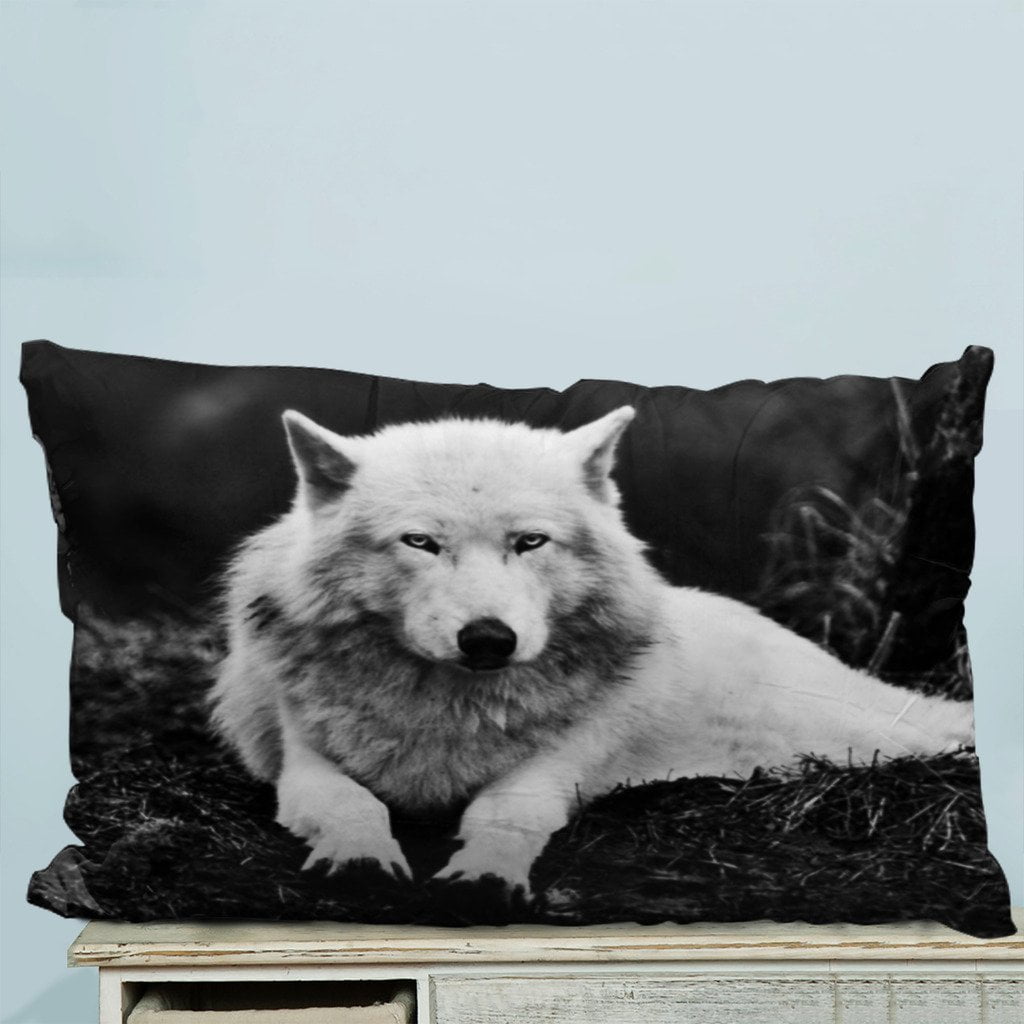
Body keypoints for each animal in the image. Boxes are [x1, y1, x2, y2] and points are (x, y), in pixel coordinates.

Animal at [210, 406, 973, 895]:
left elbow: (504, 815)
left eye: (531, 542)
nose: (488, 638)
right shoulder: (304, 764)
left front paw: (484, 875)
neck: (448, 712)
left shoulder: (556, 767)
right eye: (420, 542)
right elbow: (353, 806)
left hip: (836, 733)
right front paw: (362, 861)